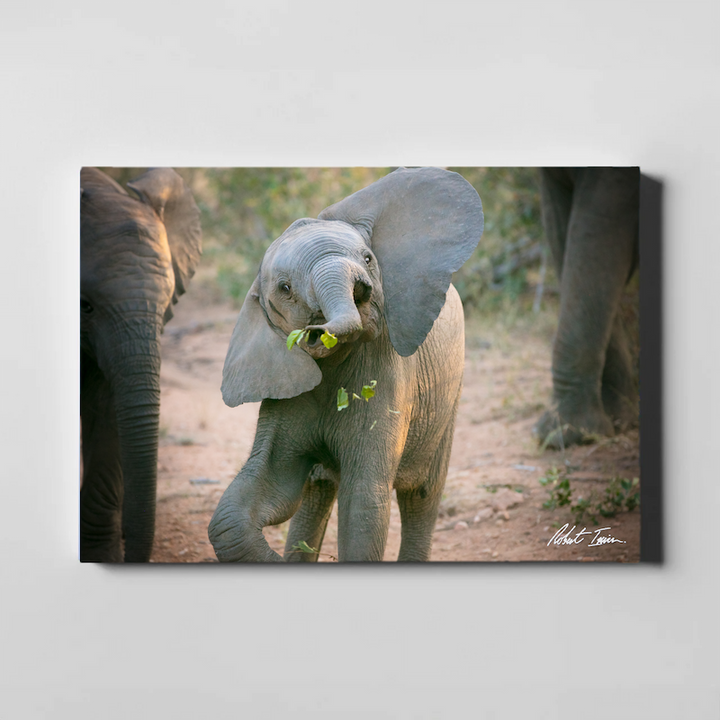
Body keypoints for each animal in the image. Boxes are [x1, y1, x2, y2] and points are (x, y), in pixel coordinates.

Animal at [208, 167, 484, 562]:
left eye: (368, 258)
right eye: (285, 288)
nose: (314, 332)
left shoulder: (388, 374)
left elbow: (364, 502)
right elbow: (256, 500)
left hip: (449, 392)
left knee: (421, 494)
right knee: (316, 490)